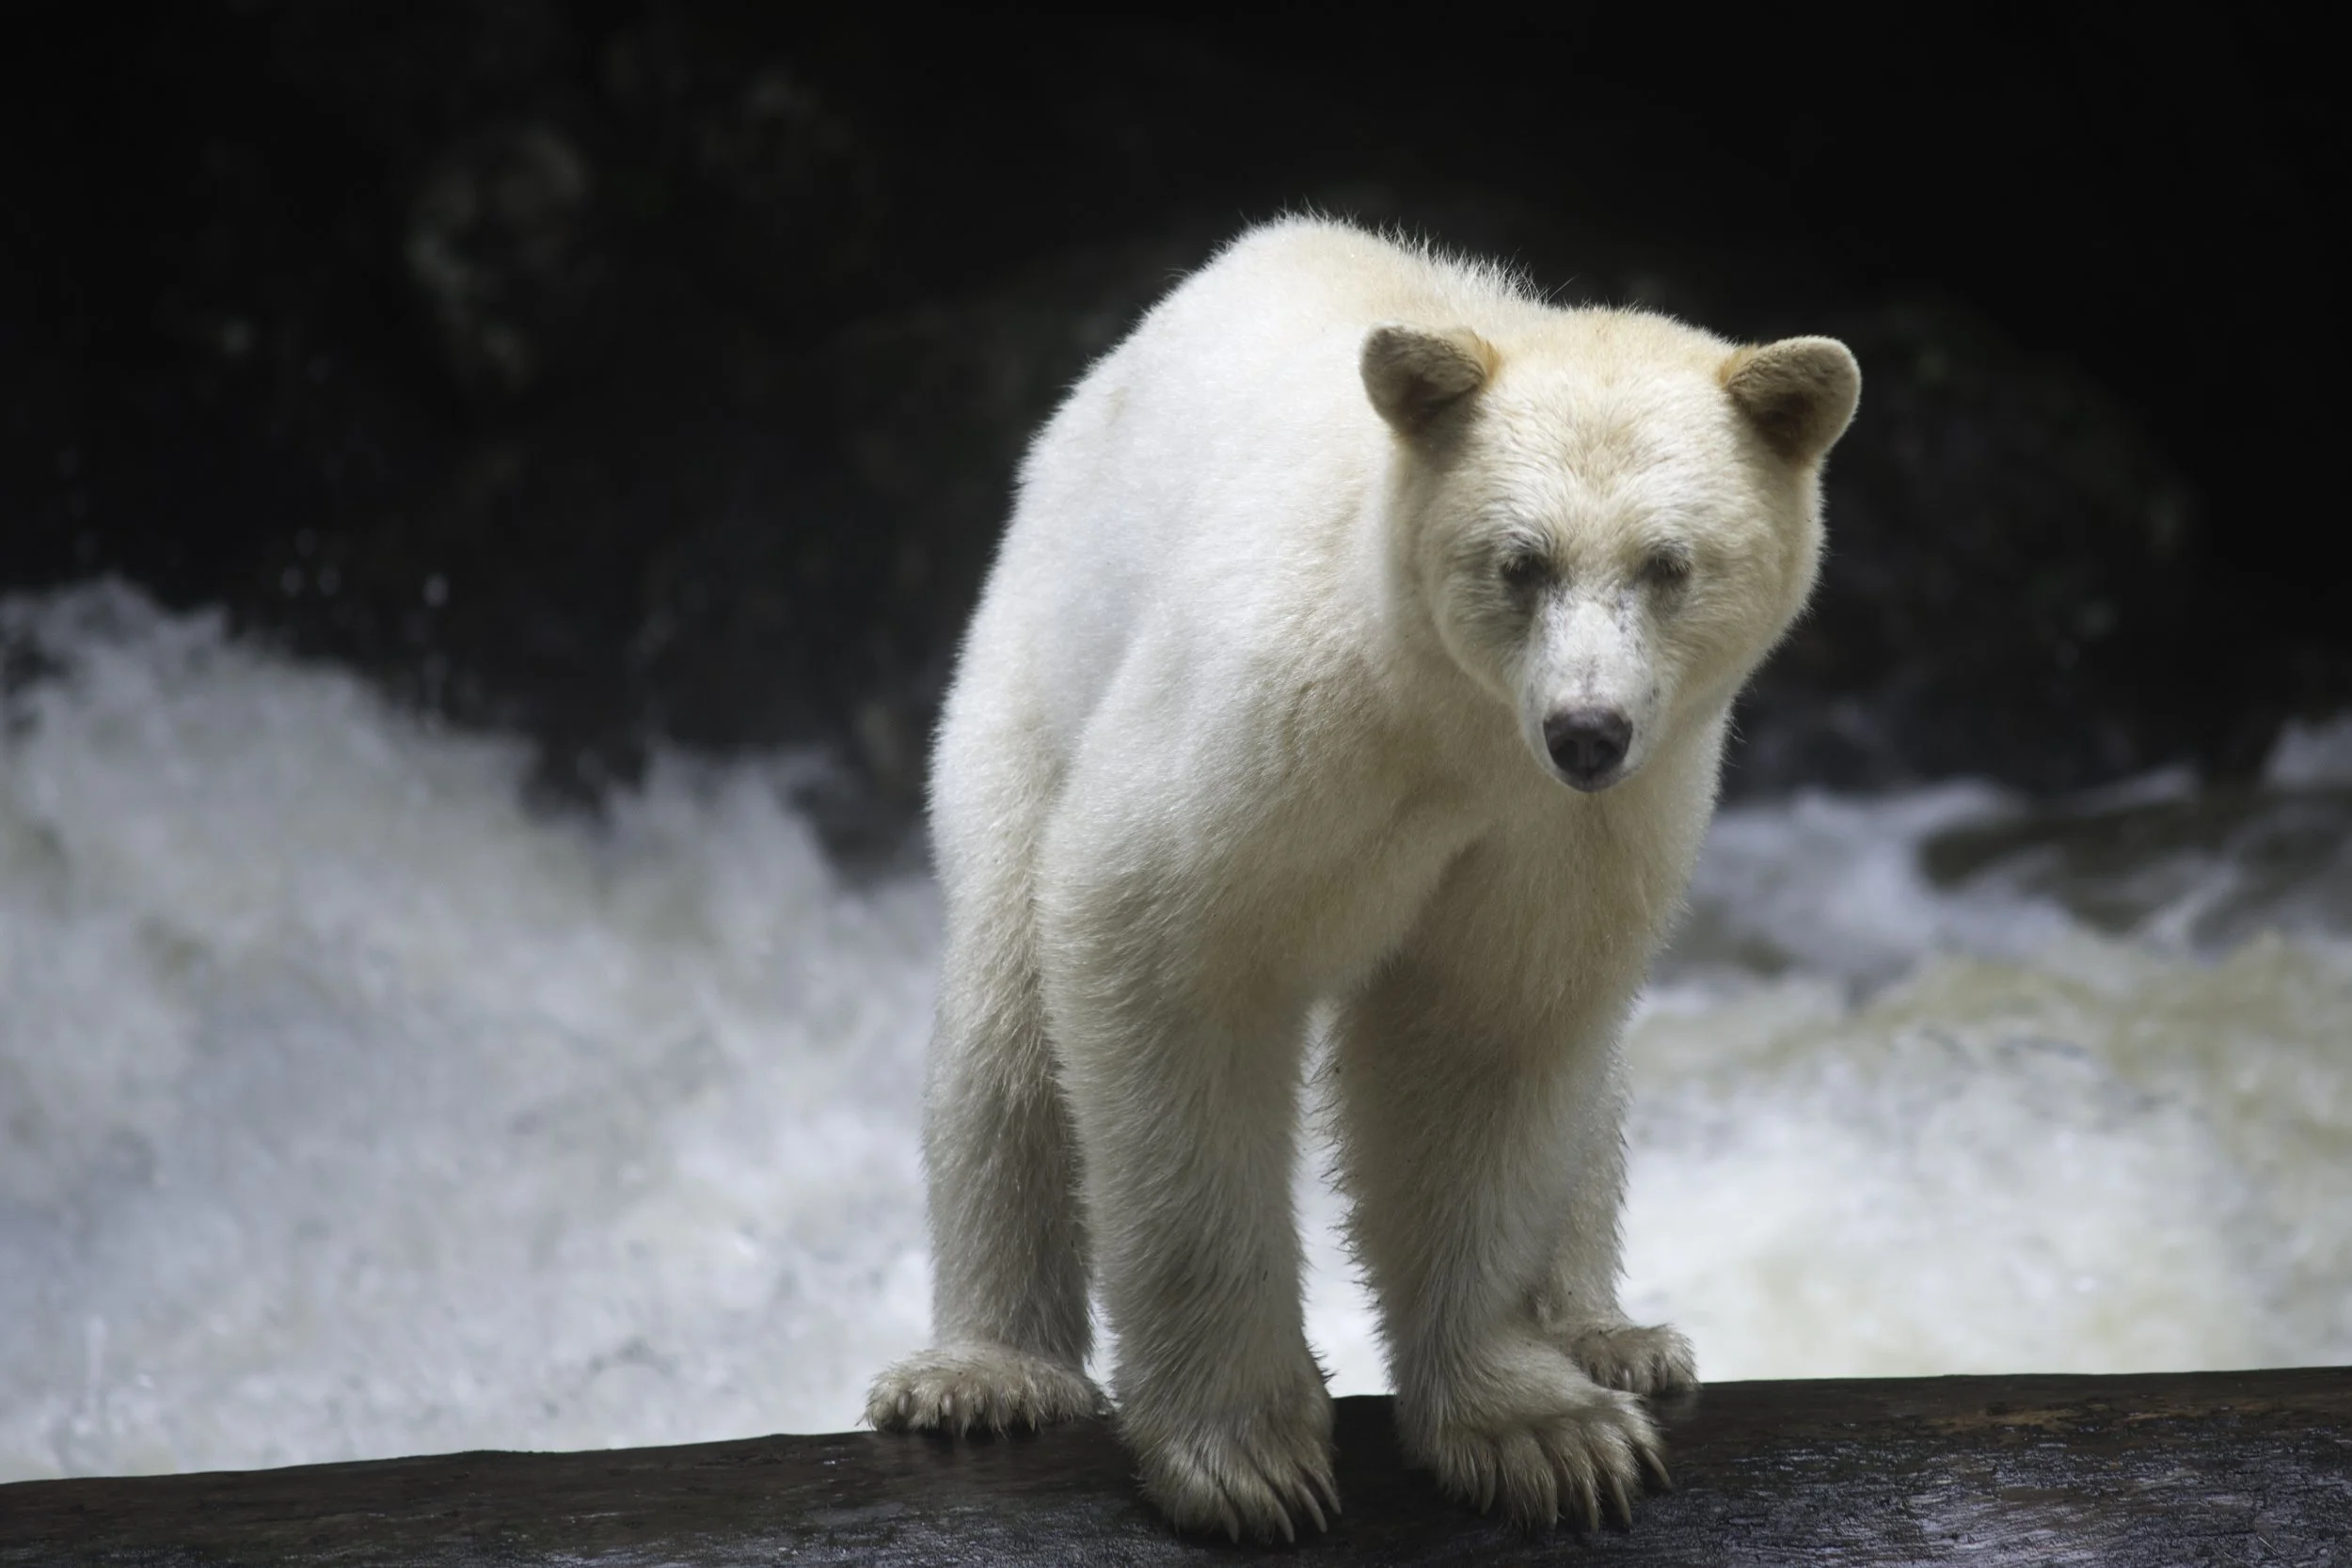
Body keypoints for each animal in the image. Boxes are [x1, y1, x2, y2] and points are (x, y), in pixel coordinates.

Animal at [866, 215, 1858, 1541]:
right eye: (1520, 562)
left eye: (1668, 564)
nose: (1586, 731)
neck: (1449, 725)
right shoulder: (1275, 727)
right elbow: (1161, 953)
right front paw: (1244, 1454)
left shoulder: (1567, 832)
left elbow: (1489, 1034)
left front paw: (1545, 1429)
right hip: (1030, 671)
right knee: (1006, 1016)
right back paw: (985, 1371)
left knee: (1589, 1078)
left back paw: (1612, 1333)